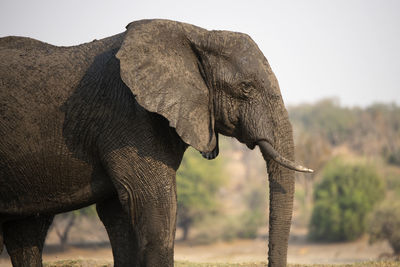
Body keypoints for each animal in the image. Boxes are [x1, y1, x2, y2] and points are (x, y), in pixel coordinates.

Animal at [0, 19, 312, 267]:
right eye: (246, 88)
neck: (195, 34)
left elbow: (118, 217)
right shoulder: (128, 117)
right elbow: (153, 204)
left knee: (25, 232)